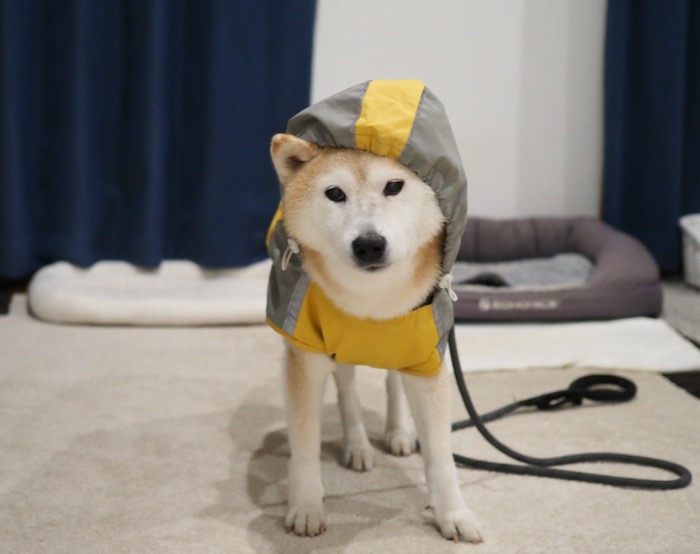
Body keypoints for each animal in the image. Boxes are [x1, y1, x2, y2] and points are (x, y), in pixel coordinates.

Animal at [266, 127, 483, 543]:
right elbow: (305, 446)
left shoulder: (427, 354)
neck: (371, 303)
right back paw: (358, 446)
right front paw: (305, 507)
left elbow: (440, 456)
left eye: (394, 186)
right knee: (347, 390)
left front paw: (454, 514)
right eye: (335, 193)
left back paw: (398, 433)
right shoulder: (305, 355)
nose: (369, 244)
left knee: (393, 382)